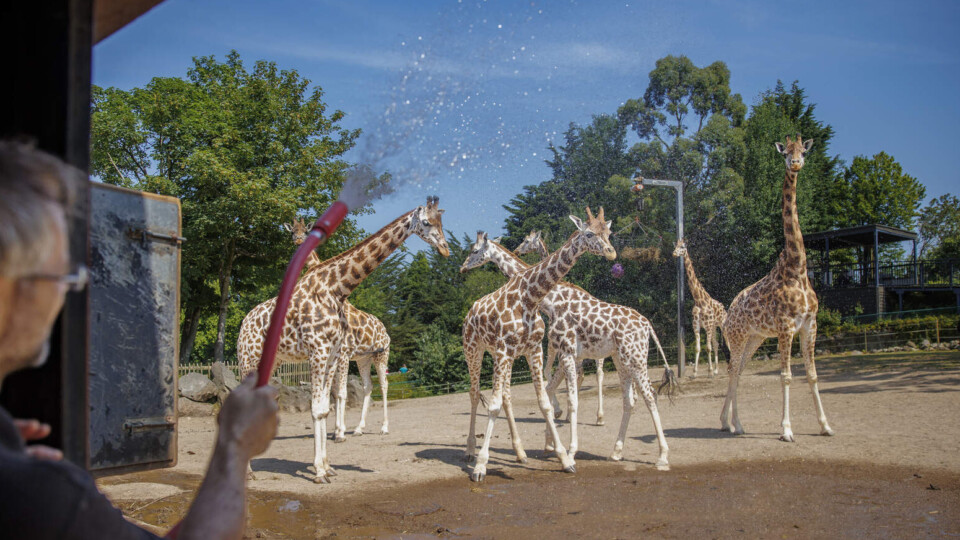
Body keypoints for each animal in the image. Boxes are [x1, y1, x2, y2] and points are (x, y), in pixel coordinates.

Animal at [284, 217, 392, 439]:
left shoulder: (342, 354)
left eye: (305, 231)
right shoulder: (338, 355)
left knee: (384, 385)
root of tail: (386, 332)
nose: (298, 240)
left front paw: (339, 432)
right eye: (292, 232)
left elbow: (341, 393)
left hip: (381, 354)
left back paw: (384, 427)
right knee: (368, 386)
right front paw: (335, 430)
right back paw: (359, 428)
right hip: (363, 358)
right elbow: (334, 393)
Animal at [515, 229, 605, 425]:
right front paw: (563, 411)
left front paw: (559, 410)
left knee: (594, 373)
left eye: (526, 240)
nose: (517, 250)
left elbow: (551, 372)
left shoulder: (553, 344)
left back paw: (597, 416)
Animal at [672, 238, 727, 378]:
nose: (674, 253)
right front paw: (695, 372)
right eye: (675, 246)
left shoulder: (707, 325)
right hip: (713, 328)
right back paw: (717, 370)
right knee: (716, 344)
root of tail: (724, 308)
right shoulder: (696, 325)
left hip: (721, 325)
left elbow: (707, 348)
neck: (699, 300)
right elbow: (698, 348)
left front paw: (710, 372)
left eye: (683, 247)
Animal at [720, 135, 834, 442]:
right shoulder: (785, 326)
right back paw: (734, 424)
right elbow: (786, 376)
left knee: (738, 370)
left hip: (755, 338)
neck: (797, 269)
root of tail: (728, 315)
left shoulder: (810, 324)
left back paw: (730, 423)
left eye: (803, 151)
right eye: (785, 154)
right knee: (733, 370)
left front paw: (826, 426)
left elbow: (812, 375)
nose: (795, 164)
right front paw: (786, 430)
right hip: (738, 338)